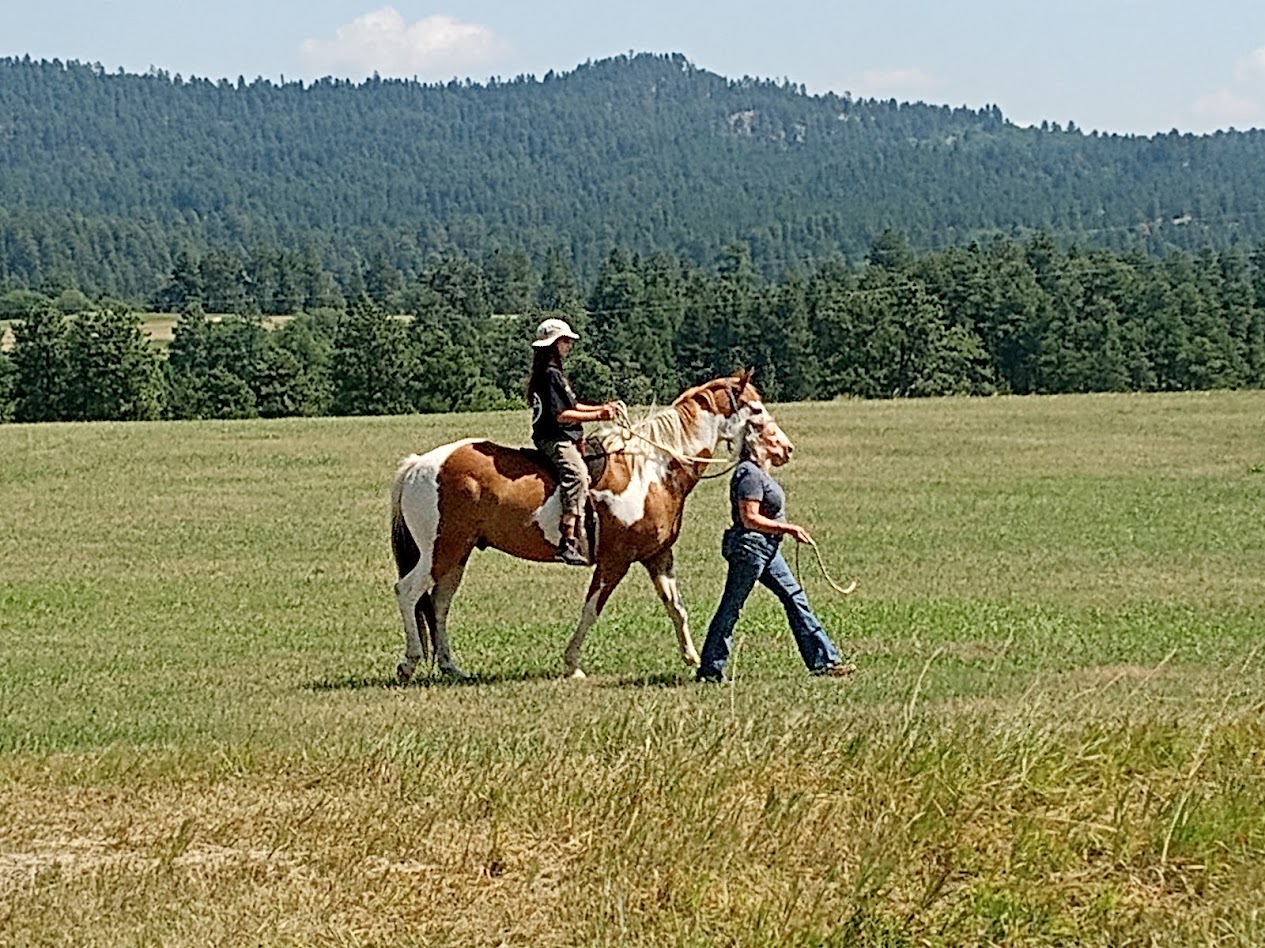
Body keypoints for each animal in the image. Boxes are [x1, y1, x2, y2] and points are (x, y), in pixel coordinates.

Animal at [389, 369, 784, 680]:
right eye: (756, 409)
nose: (785, 448)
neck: (652, 469)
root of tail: (419, 464)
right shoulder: (615, 561)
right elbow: (592, 608)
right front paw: (572, 663)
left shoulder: (658, 556)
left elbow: (677, 607)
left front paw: (693, 658)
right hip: (440, 550)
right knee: (408, 592)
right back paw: (409, 663)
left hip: (457, 554)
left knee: (439, 603)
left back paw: (450, 667)